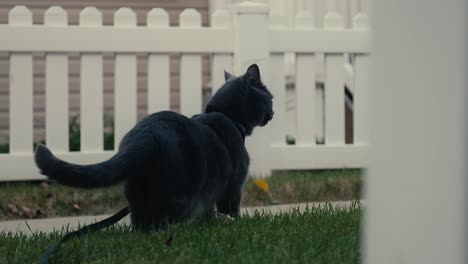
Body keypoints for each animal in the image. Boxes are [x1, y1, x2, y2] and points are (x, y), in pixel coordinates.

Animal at [36, 64, 274, 229]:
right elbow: (231, 206)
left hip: (135, 189)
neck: (228, 117)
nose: (274, 110)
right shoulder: (233, 184)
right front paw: (233, 221)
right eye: (270, 98)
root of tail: (146, 135)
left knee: (141, 219)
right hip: (183, 189)